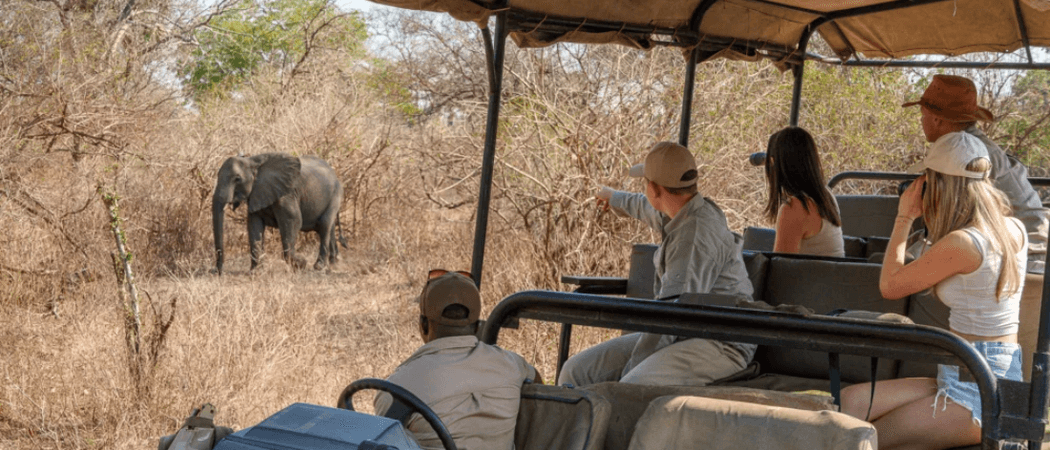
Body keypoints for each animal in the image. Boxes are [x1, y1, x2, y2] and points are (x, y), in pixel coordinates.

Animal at [212, 153, 344, 275]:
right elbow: (254, 225)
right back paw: (335, 263)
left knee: (324, 225)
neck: (252, 161)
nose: (218, 272)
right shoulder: (257, 193)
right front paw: (256, 272)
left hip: (335, 195)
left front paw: (301, 264)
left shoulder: (287, 194)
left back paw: (319, 266)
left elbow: (293, 220)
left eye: (237, 179)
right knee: (327, 228)